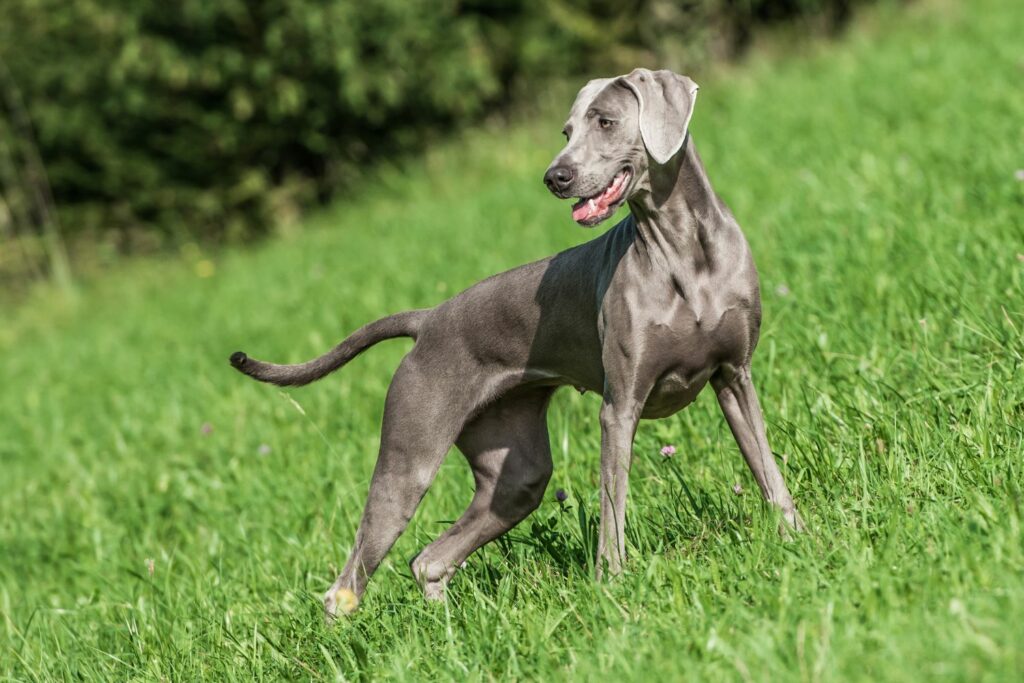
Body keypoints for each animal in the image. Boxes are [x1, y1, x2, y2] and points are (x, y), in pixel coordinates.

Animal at [228, 68, 802, 618]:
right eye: (566, 132)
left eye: (606, 122)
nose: (555, 177)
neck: (684, 249)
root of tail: (428, 320)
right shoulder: (620, 407)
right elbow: (612, 508)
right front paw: (613, 585)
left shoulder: (735, 377)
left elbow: (767, 470)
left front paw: (795, 538)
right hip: (408, 460)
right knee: (345, 585)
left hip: (515, 475)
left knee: (428, 560)